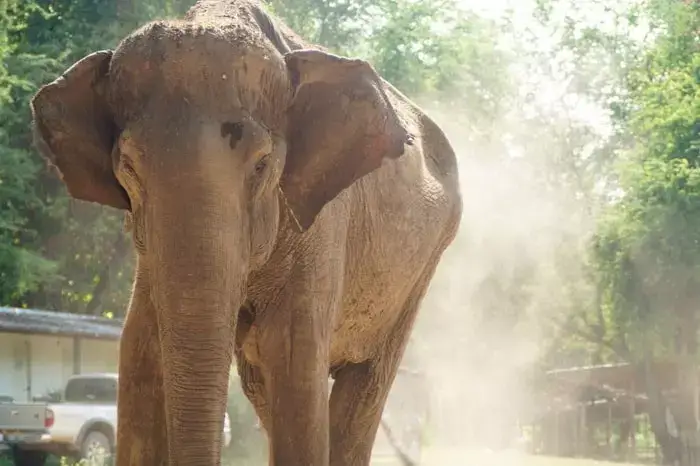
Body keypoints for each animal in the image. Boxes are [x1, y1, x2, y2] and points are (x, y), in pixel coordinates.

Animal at [30, 0, 462, 466]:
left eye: (261, 164)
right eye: (127, 167)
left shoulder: (322, 230)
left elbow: (294, 362)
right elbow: (140, 355)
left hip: (422, 269)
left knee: (364, 386)